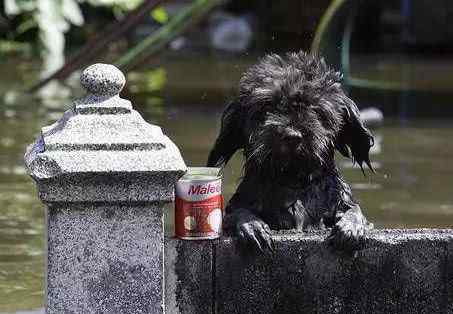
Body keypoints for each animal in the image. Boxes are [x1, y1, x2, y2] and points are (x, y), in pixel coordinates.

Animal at [207, 51, 372, 253]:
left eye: (316, 109)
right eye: (267, 107)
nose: (292, 136)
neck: (293, 180)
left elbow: (354, 209)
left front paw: (351, 227)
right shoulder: (239, 203)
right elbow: (237, 212)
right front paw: (252, 227)